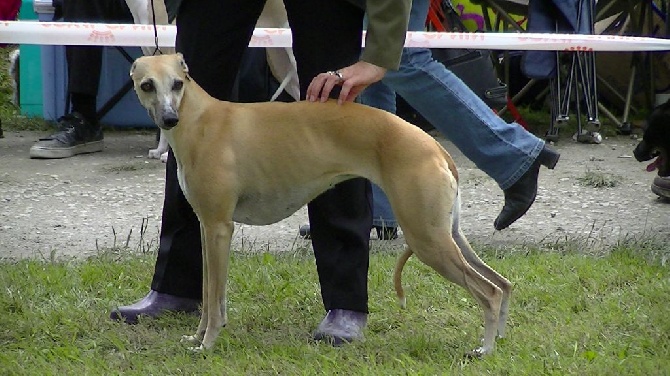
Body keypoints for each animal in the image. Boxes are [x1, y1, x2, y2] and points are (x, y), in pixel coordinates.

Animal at [127, 53, 516, 356]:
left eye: (178, 83)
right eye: (147, 85)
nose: (169, 119)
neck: (199, 118)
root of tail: (433, 146)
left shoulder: (220, 227)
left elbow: (214, 298)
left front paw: (206, 344)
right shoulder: (208, 227)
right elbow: (210, 296)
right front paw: (195, 337)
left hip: (427, 239)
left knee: (489, 292)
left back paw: (484, 349)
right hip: (445, 233)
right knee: (503, 283)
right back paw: (497, 338)